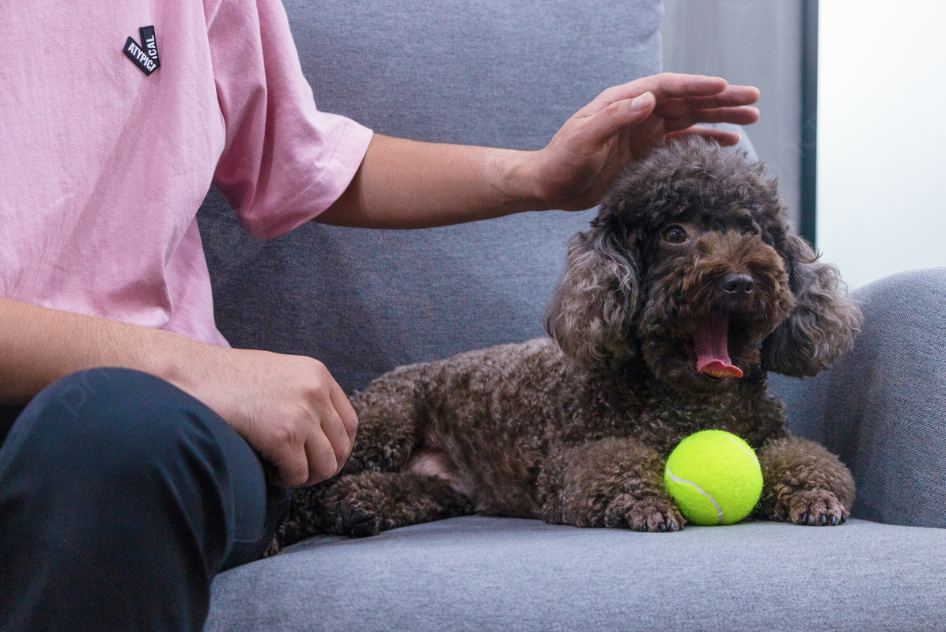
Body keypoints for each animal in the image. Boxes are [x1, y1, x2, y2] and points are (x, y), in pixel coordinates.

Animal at [270, 136, 860, 552]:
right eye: (674, 234)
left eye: (753, 230)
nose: (738, 281)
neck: (693, 399)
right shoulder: (571, 460)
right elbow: (614, 464)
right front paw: (643, 504)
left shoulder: (768, 438)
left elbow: (805, 458)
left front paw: (814, 495)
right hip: (379, 423)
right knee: (310, 489)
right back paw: (290, 526)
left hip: (444, 484)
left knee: (372, 492)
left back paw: (361, 506)